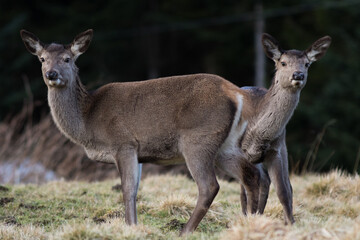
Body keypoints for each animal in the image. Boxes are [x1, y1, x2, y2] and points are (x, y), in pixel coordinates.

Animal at [20, 28, 262, 234]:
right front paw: (135, 226)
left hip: (198, 139)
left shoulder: (123, 143)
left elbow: (127, 189)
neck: (88, 120)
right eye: (42, 59)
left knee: (209, 185)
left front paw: (130, 227)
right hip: (226, 144)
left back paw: (185, 230)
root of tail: (237, 93)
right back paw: (250, 220)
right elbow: (135, 189)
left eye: (67, 59)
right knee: (251, 174)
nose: (51, 74)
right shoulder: (138, 153)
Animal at [236, 32, 332, 224]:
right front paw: (249, 220)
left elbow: (283, 191)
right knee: (247, 187)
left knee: (269, 183)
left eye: (307, 64)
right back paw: (248, 213)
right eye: (283, 63)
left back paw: (259, 213)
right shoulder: (242, 153)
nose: (298, 75)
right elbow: (249, 189)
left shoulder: (277, 150)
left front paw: (290, 223)